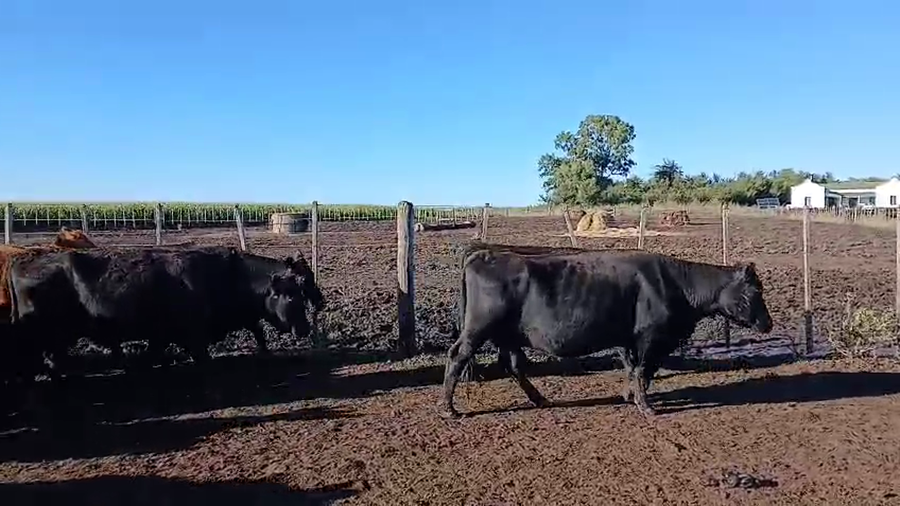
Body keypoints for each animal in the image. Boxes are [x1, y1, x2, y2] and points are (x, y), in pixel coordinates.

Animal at [5, 246, 324, 382]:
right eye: (291, 294)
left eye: (301, 291)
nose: (305, 329)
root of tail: (20, 262)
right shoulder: (193, 335)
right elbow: (203, 361)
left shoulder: (163, 335)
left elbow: (152, 357)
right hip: (49, 338)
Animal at [441, 248, 773, 419]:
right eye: (755, 291)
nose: (768, 324)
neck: (677, 285)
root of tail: (485, 254)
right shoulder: (651, 338)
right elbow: (643, 371)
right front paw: (646, 407)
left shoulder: (629, 340)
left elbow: (632, 369)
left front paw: (629, 396)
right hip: (477, 329)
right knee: (457, 356)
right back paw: (449, 409)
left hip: (506, 335)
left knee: (512, 365)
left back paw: (540, 399)